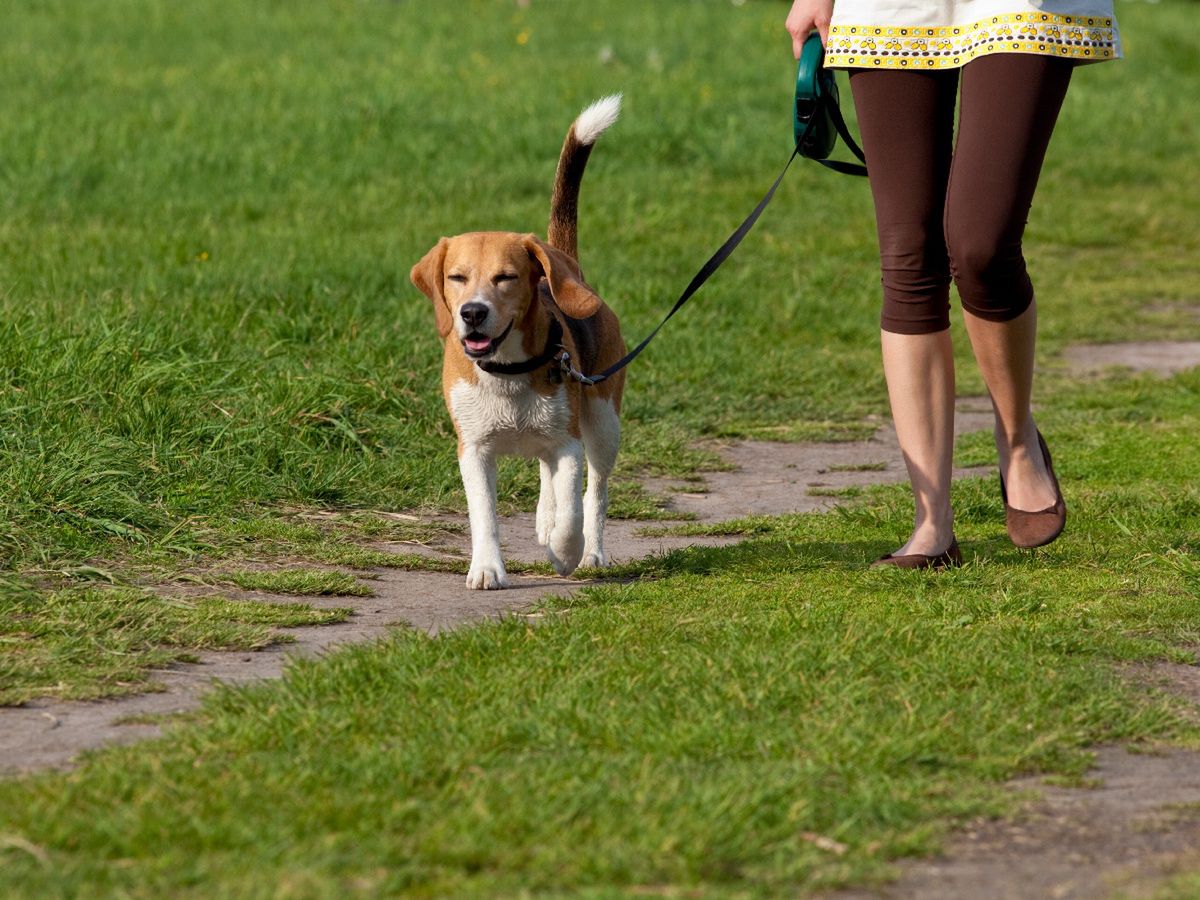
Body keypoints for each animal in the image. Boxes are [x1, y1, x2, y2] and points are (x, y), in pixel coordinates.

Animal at [410, 97, 624, 592]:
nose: (472, 313)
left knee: (596, 491)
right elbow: (484, 516)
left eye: (505, 277)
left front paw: (564, 551)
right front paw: (487, 568)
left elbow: (573, 509)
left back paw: (591, 554)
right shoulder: (473, 451)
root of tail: (574, 273)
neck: (506, 372)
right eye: (456, 277)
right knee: (549, 477)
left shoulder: (568, 445)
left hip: (604, 424)